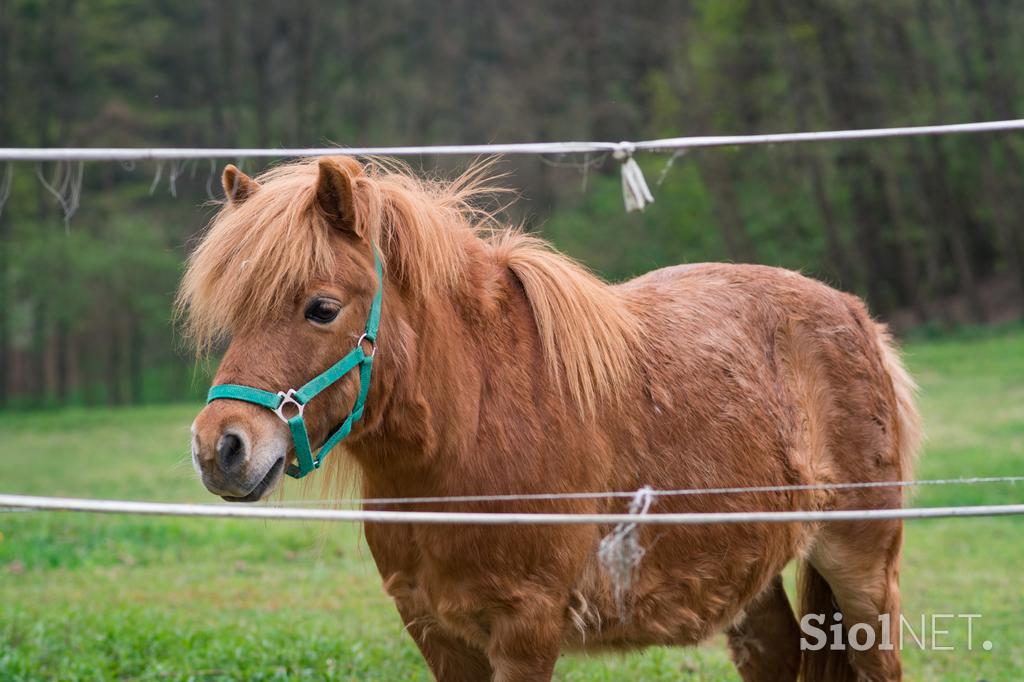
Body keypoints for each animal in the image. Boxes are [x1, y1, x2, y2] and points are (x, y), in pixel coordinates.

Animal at [180, 155, 925, 679]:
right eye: (237, 313)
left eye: (322, 308)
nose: (221, 448)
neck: (470, 436)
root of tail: (854, 313)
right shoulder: (438, 636)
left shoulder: (525, 632)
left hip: (862, 568)